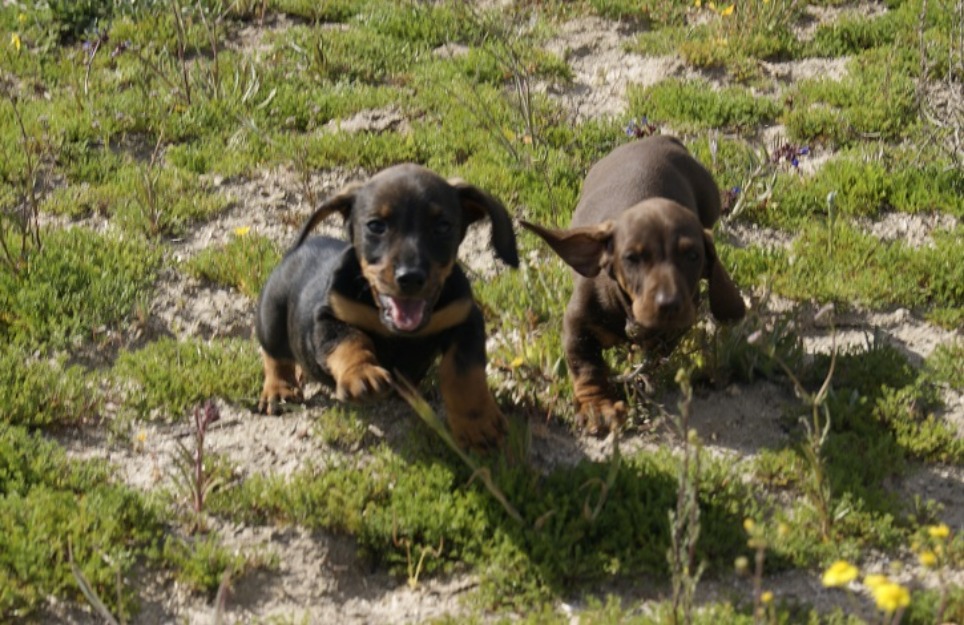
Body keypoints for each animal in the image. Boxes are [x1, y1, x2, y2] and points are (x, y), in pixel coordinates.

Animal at [252, 163, 516, 448]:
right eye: (376, 225)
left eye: (443, 226)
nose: (410, 277)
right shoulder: (329, 319)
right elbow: (352, 342)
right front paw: (362, 374)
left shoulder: (464, 319)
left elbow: (462, 372)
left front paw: (476, 421)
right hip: (271, 316)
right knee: (275, 356)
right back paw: (279, 389)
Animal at [528, 134, 744, 432]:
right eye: (632, 258)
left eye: (693, 256)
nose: (669, 305)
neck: (625, 310)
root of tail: (663, 137)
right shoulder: (577, 324)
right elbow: (587, 367)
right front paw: (598, 406)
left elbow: (657, 349)